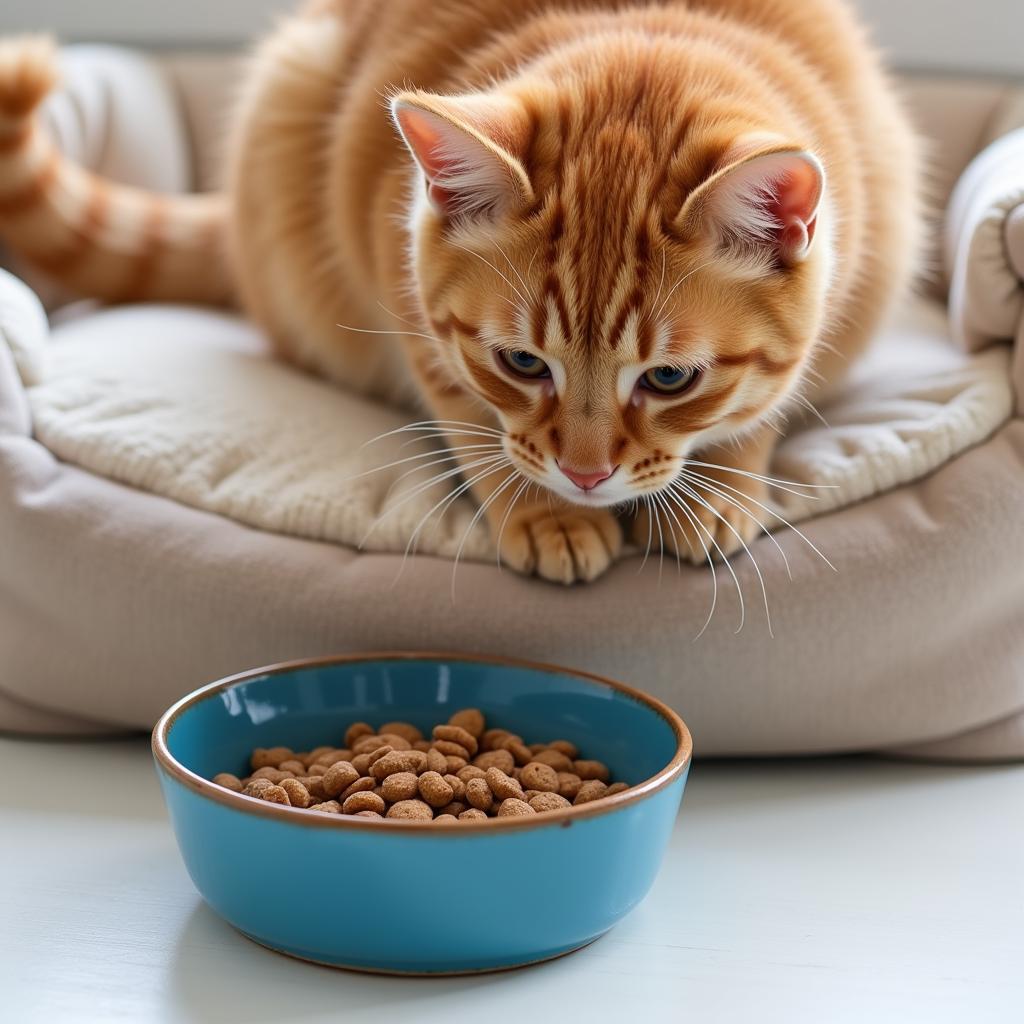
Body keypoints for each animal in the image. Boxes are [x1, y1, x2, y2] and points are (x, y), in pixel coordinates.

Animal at [0, 2, 917, 585]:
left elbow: (763, 404)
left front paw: (723, 485)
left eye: (669, 379)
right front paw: (544, 514)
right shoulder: (401, 292)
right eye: (522, 363)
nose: (585, 477)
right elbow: (475, 423)